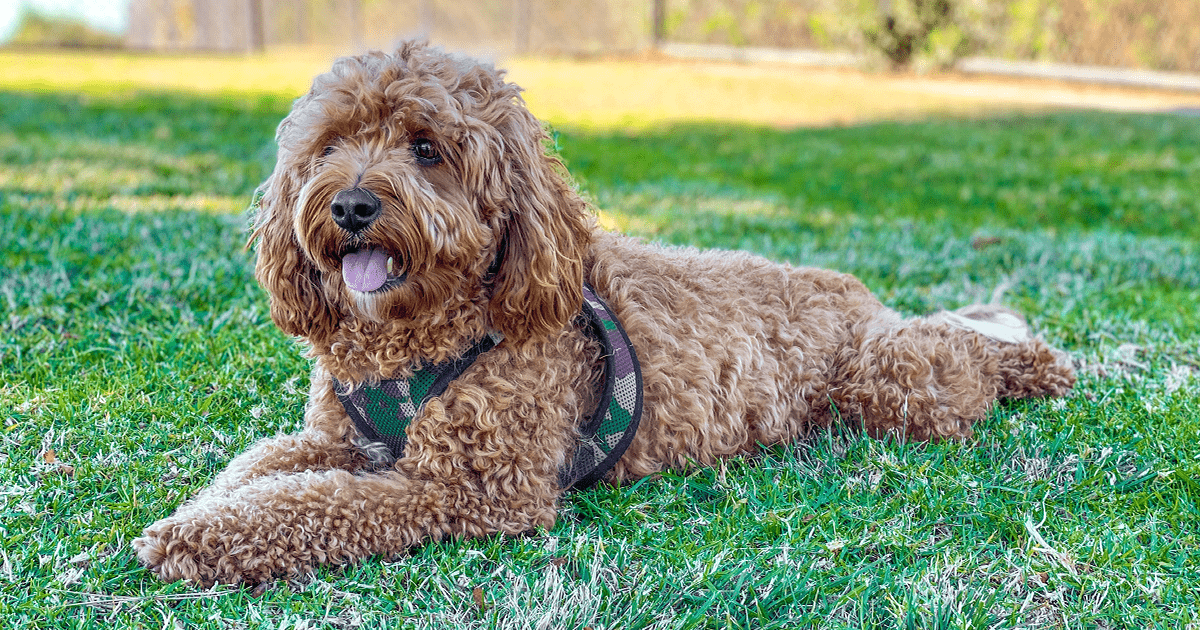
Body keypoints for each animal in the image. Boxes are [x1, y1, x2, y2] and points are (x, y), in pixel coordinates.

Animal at [133, 42, 1080, 585]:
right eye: (330, 145)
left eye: (427, 149)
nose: (352, 205)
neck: (417, 337)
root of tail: (854, 292)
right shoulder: (337, 439)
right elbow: (260, 472)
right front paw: (195, 514)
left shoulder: (471, 488)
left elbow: (310, 505)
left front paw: (193, 542)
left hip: (893, 383)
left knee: (962, 357)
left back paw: (1036, 362)